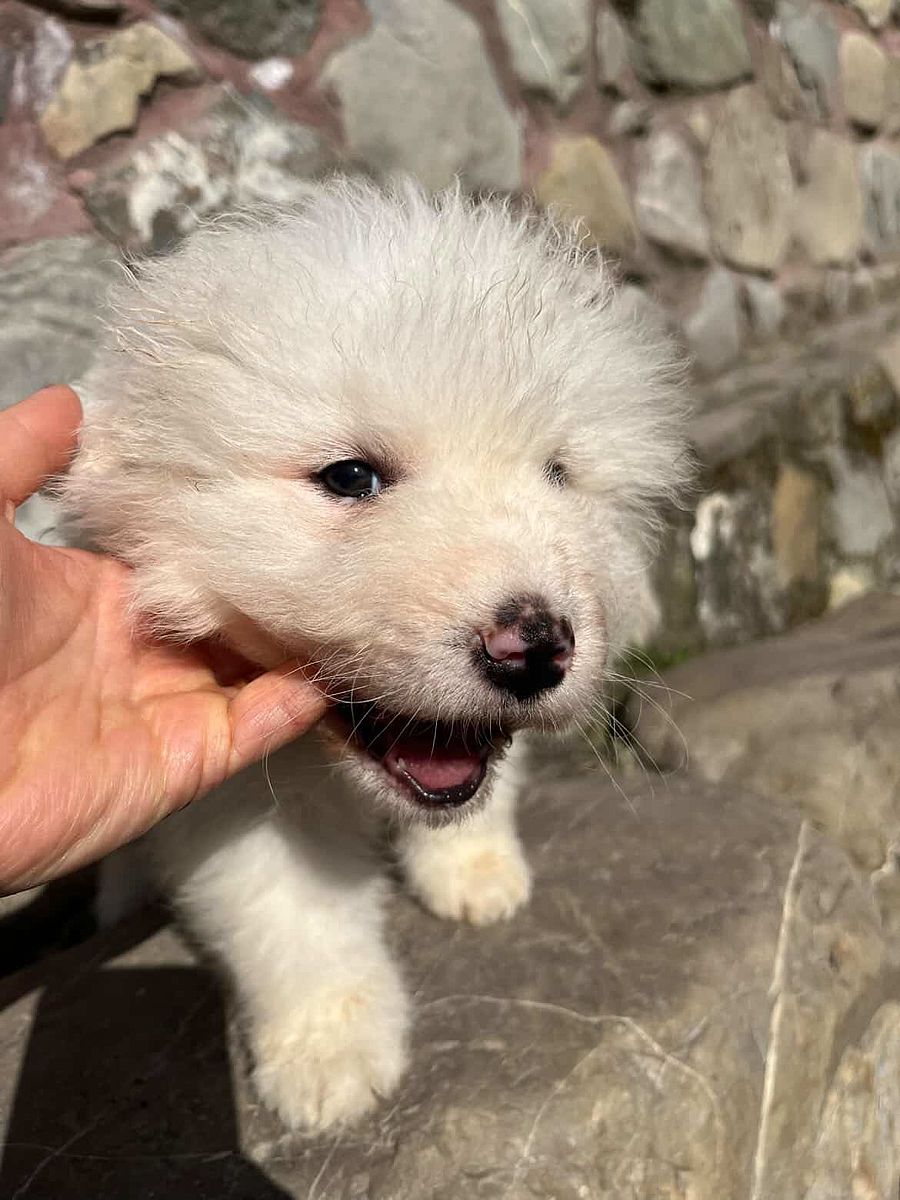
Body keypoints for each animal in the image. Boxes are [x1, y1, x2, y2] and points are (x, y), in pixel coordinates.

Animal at [61, 178, 688, 1131]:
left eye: (558, 474)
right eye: (351, 477)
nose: (535, 649)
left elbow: (484, 792)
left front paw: (476, 873)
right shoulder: (239, 800)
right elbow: (297, 920)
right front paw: (331, 1060)